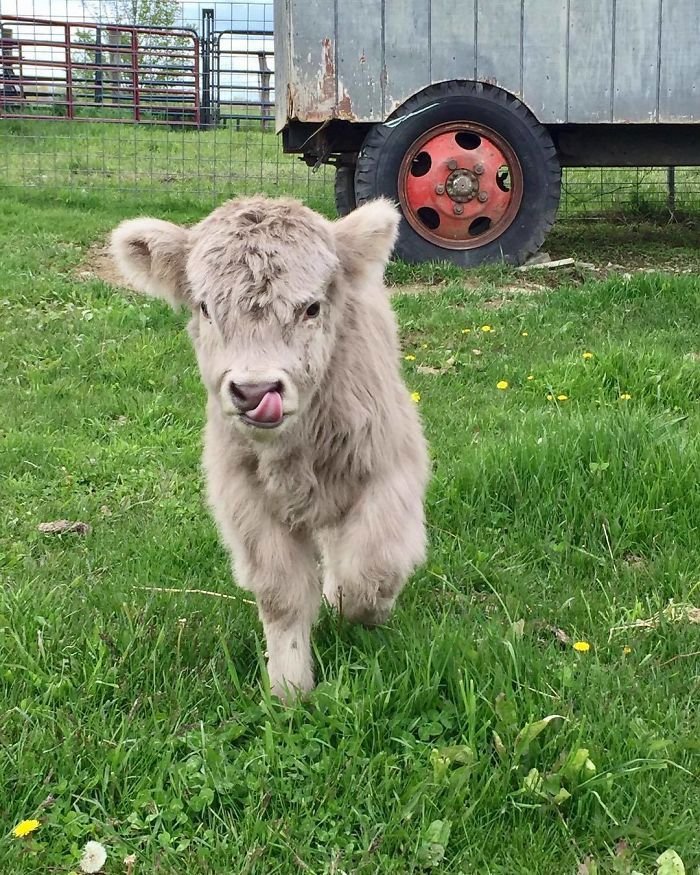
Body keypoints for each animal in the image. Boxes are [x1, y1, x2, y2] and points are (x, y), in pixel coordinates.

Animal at [111, 197, 430, 700]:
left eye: (312, 307)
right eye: (205, 306)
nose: (254, 391)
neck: (297, 450)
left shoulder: (391, 470)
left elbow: (371, 572)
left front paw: (357, 613)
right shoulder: (245, 498)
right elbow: (281, 595)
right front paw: (289, 689)